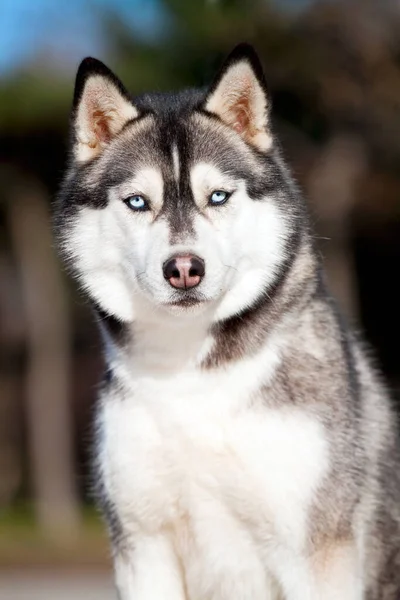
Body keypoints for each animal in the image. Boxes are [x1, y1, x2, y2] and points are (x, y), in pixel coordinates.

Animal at [55, 44, 400, 596]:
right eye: (137, 201)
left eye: (217, 196)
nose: (183, 268)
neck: (191, 377)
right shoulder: (142, 545)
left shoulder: (317, 550)